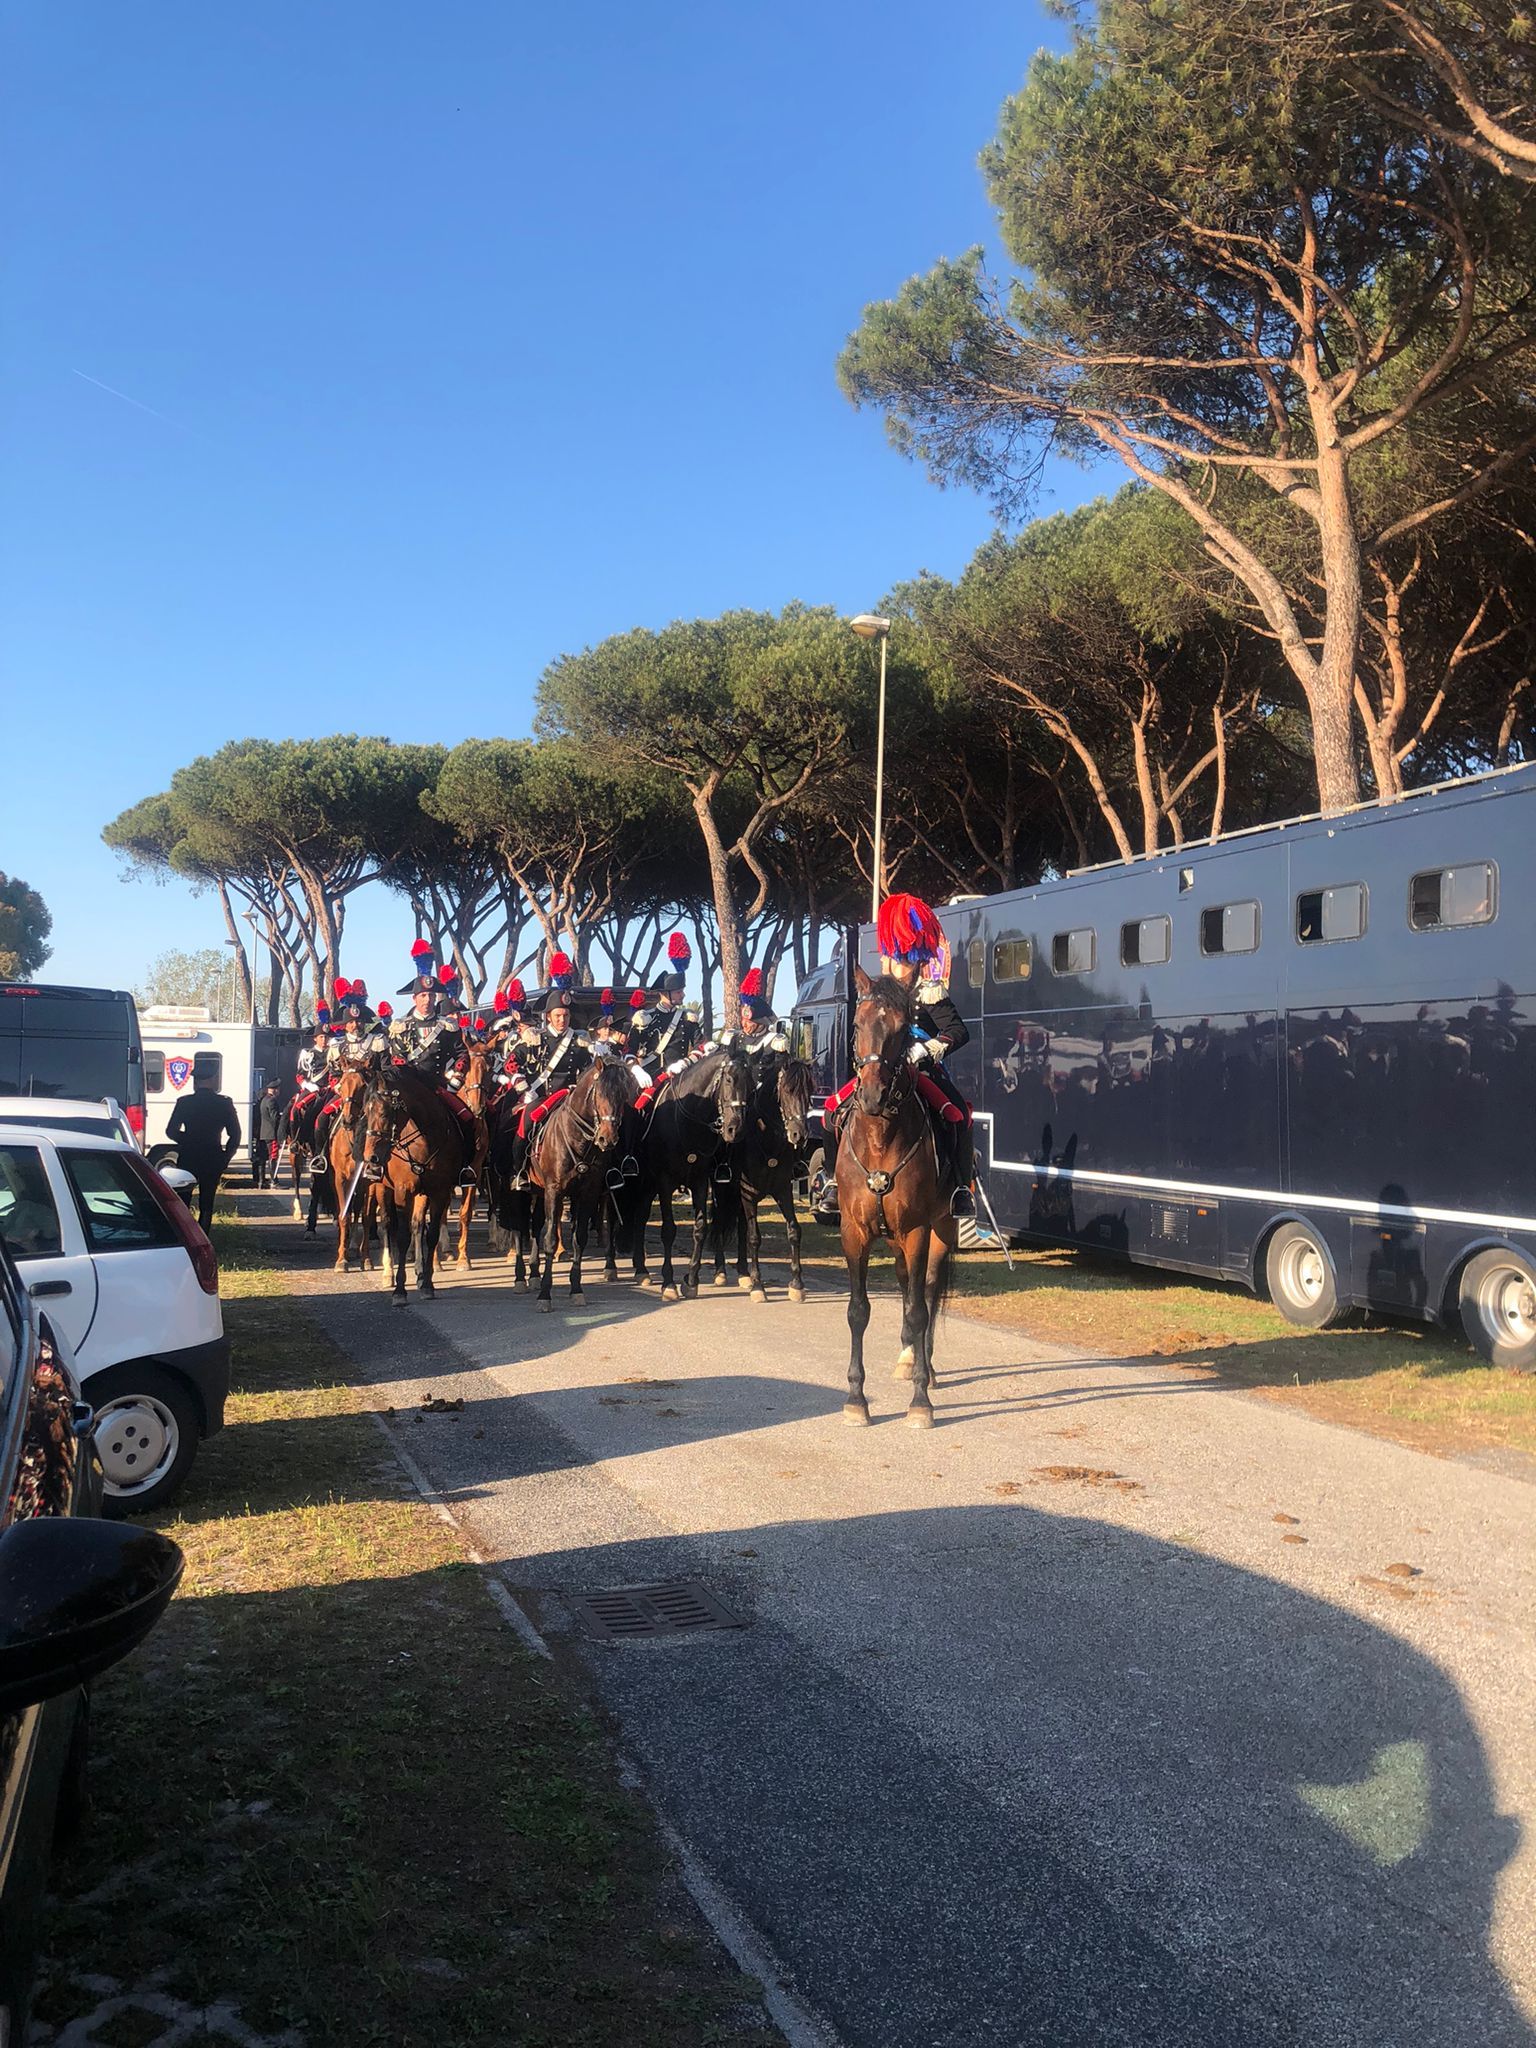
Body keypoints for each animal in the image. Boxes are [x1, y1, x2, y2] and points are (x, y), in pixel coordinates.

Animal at [364, 1064, 466, 1302]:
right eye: (366, 1111)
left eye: (384, 1113)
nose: (371, 1157)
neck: (424, 1140)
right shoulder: (403, 1192)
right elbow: (401, 1236)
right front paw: (400, 1291)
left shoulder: (438, 1191)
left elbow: (431, 1234)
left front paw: (427, 1283)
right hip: (383, 1188)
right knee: (387, 1225)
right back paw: (388, 1273)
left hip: (422, 1193)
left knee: (417, 1225)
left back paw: (419, 1273)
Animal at [528, 1056, 638, 1310]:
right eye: (601, 1094)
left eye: (624, 1096)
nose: (607, 1139)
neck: (577, 1138)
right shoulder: (554, 1191)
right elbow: (549, 1239)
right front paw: (545, 1294)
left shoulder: (588, 1193)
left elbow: (579, 1239)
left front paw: (576, 1289)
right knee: (531, 1227)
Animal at [634, 1056, 753, 1294]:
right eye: (728, 1079)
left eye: (751, 1084)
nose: (736, 1130)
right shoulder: (664, 1181)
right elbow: (668, 1230)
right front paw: (669, 1282)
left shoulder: (700, 1181)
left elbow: (700, 1228)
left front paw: (691, 1280)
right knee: (639, 1217)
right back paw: (639, 1269)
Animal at [835, 970, 958, 1425]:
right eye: (856, 1025)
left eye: (905, 1030)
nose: (872, 1095)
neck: (879, 1138)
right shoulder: (854, 1231)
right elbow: (858, 1311)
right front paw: (856, 1398)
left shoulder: (918, 1229)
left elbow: (920, 1310)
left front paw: (921, 1401)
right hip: (894, 1238)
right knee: (907, 1284)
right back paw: (908, 1358)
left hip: (941, 1229)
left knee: (926, 1290)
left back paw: (926, 1367)